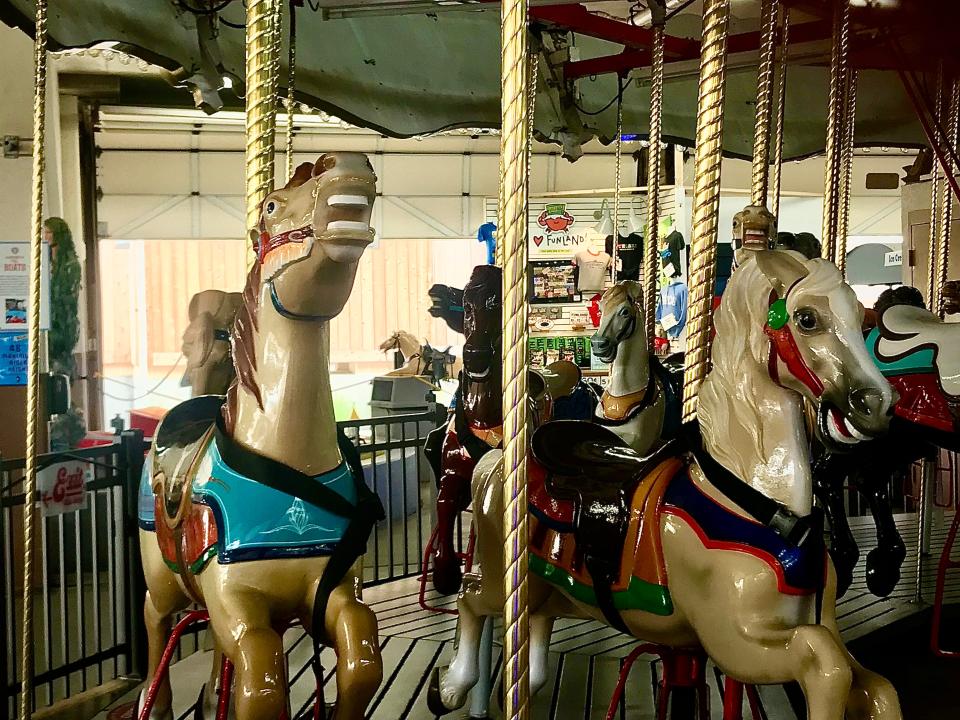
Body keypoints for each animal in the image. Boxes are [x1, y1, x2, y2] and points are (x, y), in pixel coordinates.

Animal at [134, 153, 386, 720]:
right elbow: (261, 682)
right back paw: (157, 704)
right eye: (271, 206)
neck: (291, 465)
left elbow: (361, 658)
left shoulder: (334, 589)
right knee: (156, 621)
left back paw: (210, 695)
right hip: (160, 574)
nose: (348, 162)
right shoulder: (236, 601)